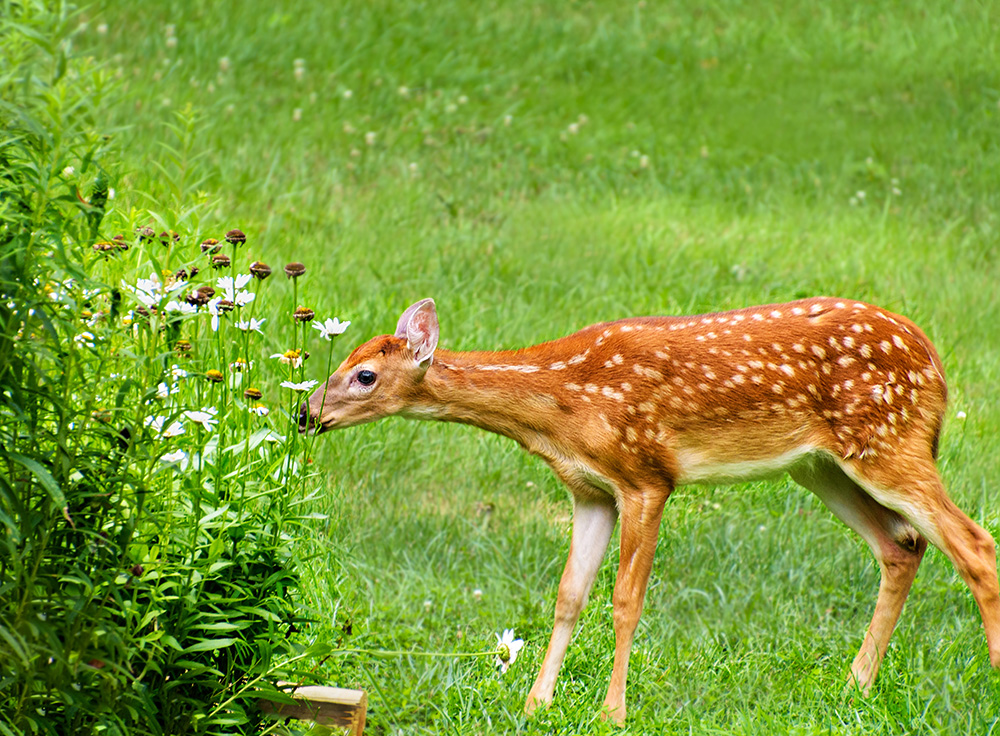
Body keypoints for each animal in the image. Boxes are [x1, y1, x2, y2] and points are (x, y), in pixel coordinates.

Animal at [300, 297, 1000, 723]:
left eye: (363, 375)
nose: (306, 414)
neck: (559, 407)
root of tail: (935, 362)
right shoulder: (588, 490)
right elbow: (569, 594)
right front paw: (535, 704)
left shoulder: (645, 477)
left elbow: (625, 600)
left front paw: (611, 712)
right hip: (822, 465)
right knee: (901, 545)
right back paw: (854, 685)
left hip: (889, 440)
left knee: (973, 544)